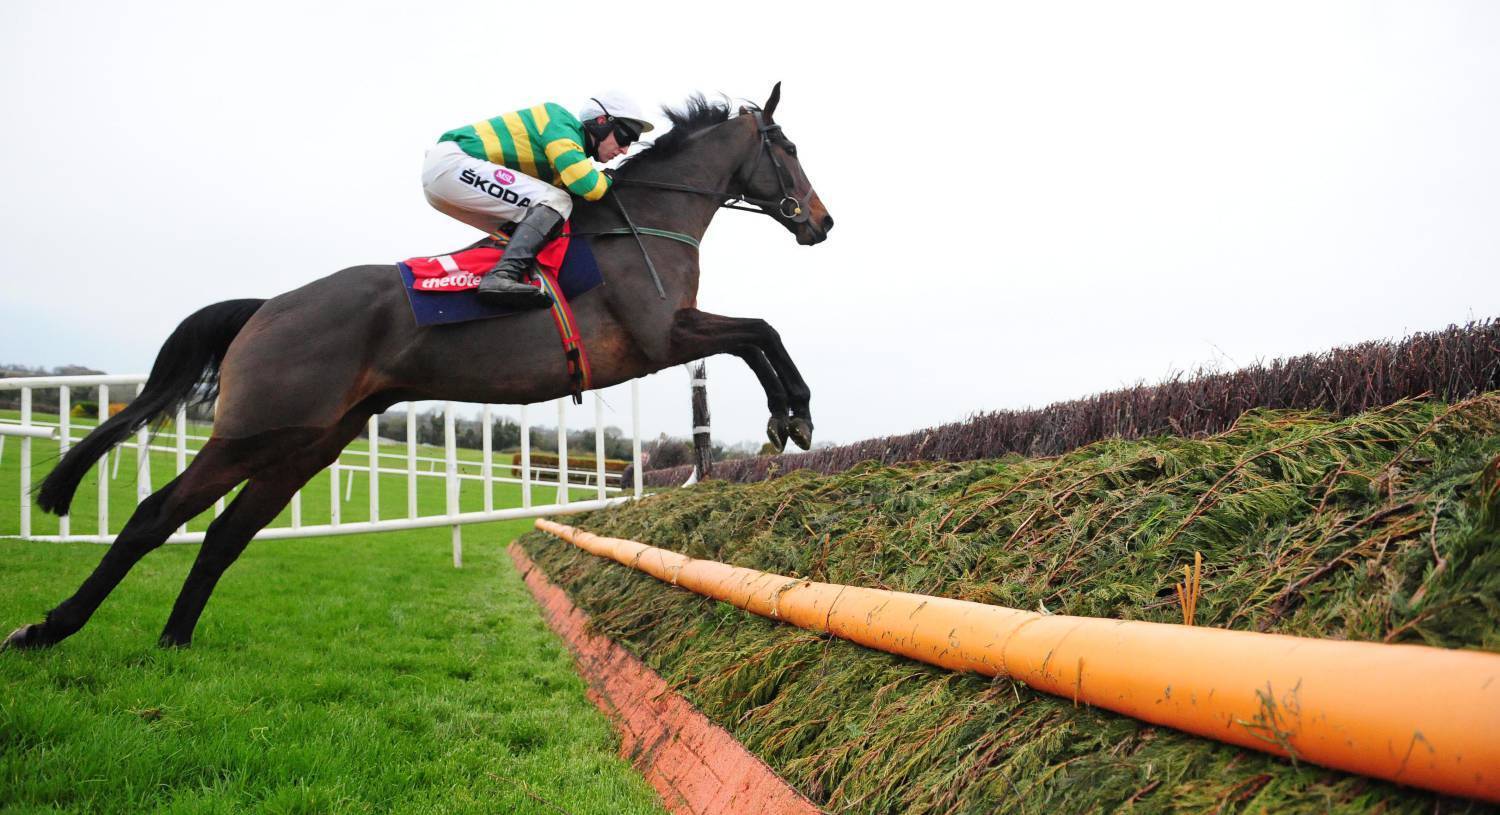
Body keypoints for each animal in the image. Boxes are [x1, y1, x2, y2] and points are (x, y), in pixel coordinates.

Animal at [5, 83, 833, 650]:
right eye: (788, 148)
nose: (823, 221)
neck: (644, 222)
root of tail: (268, 305)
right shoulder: (661, 335)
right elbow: (759, 331)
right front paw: (792, 413)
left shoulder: (671, 336)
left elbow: (757, 334)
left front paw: (789, 416)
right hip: (254, 429)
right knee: (156, 515)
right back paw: (48, 628)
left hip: (309, 443)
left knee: (224, 533)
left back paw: (174, 640)